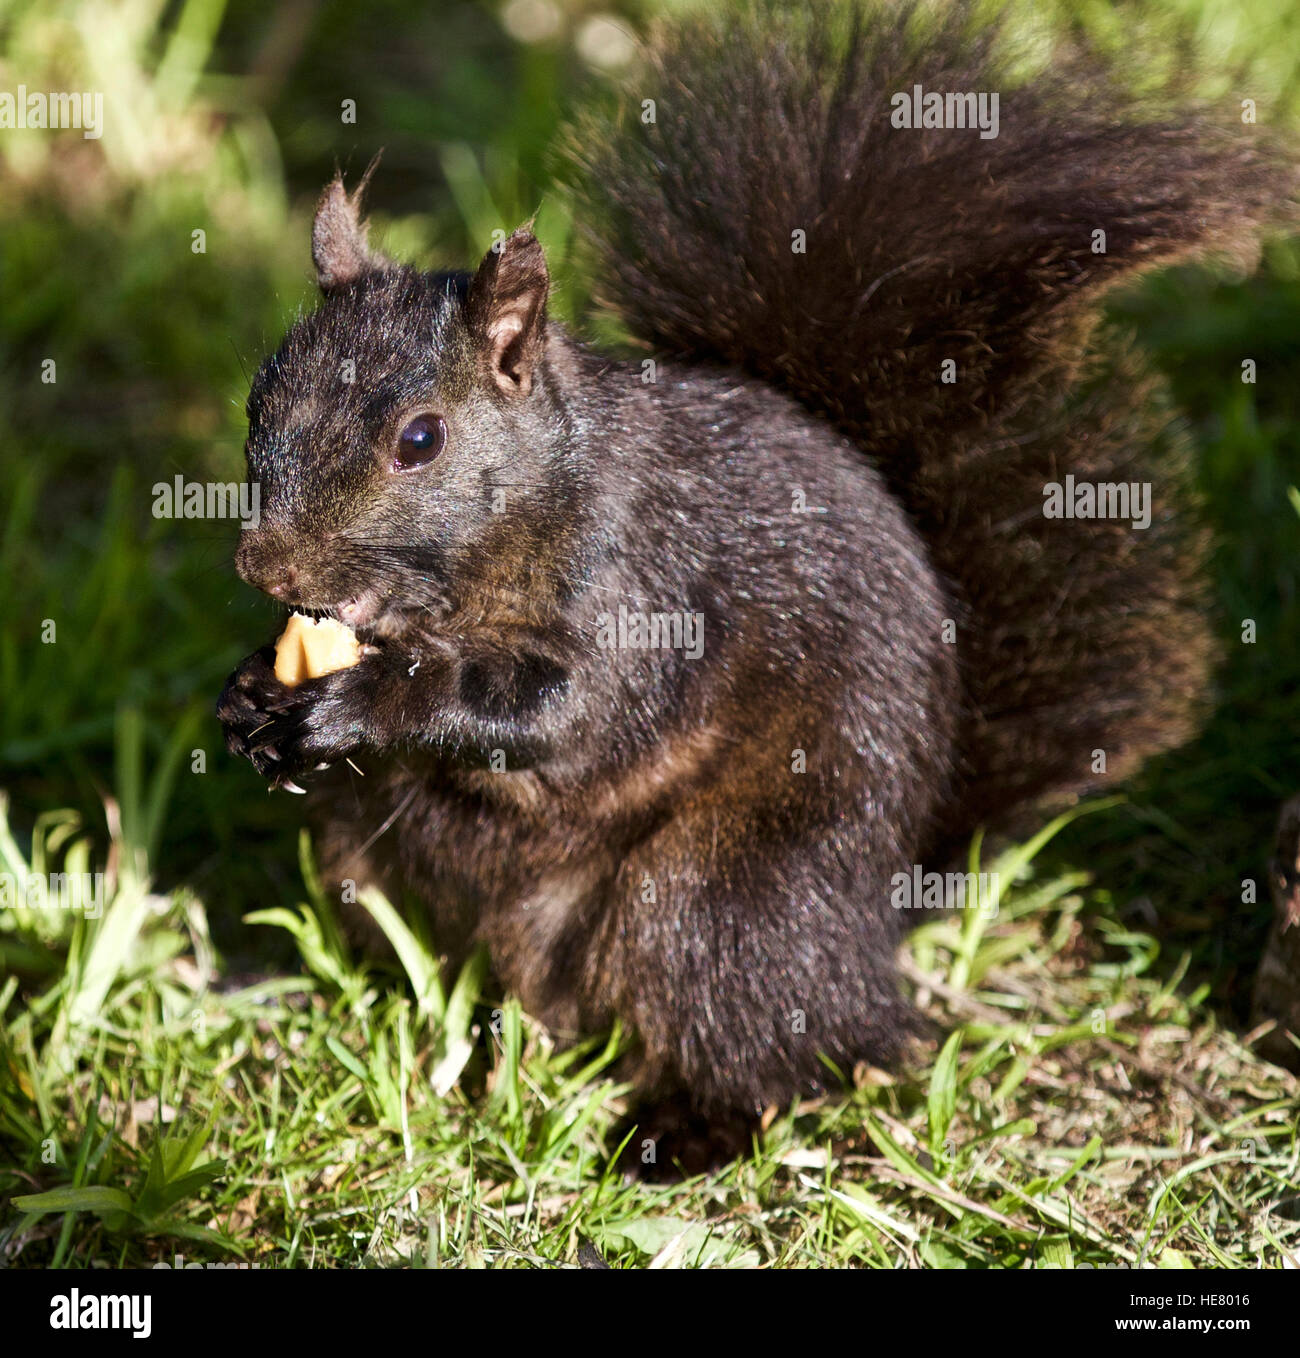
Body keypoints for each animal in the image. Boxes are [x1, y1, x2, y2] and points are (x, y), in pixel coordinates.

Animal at [218, 0, 1293, 1173]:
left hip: (720, 900)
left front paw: (359, 702)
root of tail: (880, 913)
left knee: (777, 1053)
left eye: (421, 439)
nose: (264, 568)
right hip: (370, 861)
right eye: (258, 396)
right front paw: (247, 694)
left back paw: (676, 1134)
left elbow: (563, 713)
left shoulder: (648, 588)